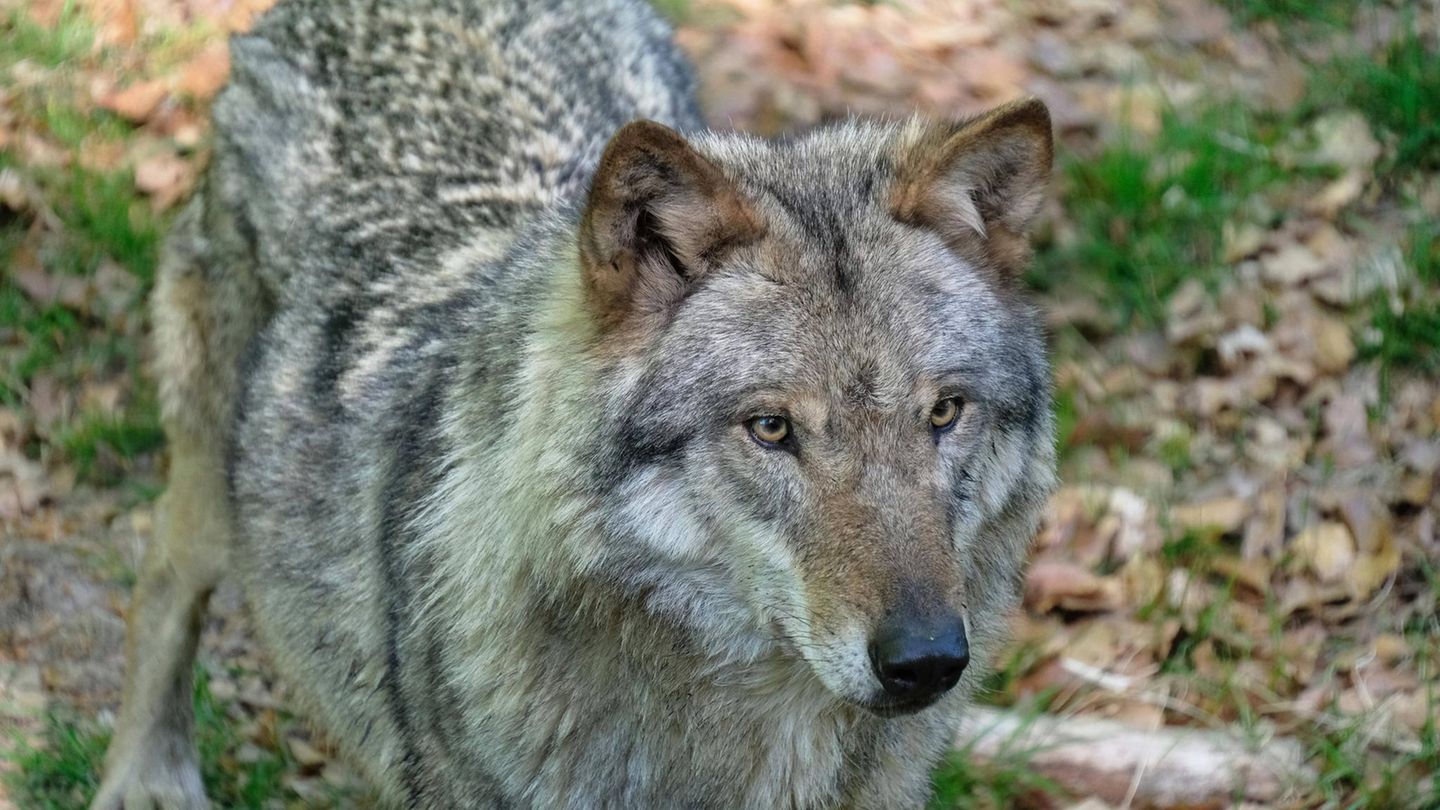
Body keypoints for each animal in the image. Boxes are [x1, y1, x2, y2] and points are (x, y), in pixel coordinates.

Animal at [91, 0, 1057, 806]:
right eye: (771, 428)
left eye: (944, 414)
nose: (927, 662)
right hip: (212, 485)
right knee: (161, 576)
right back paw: (147, 779)